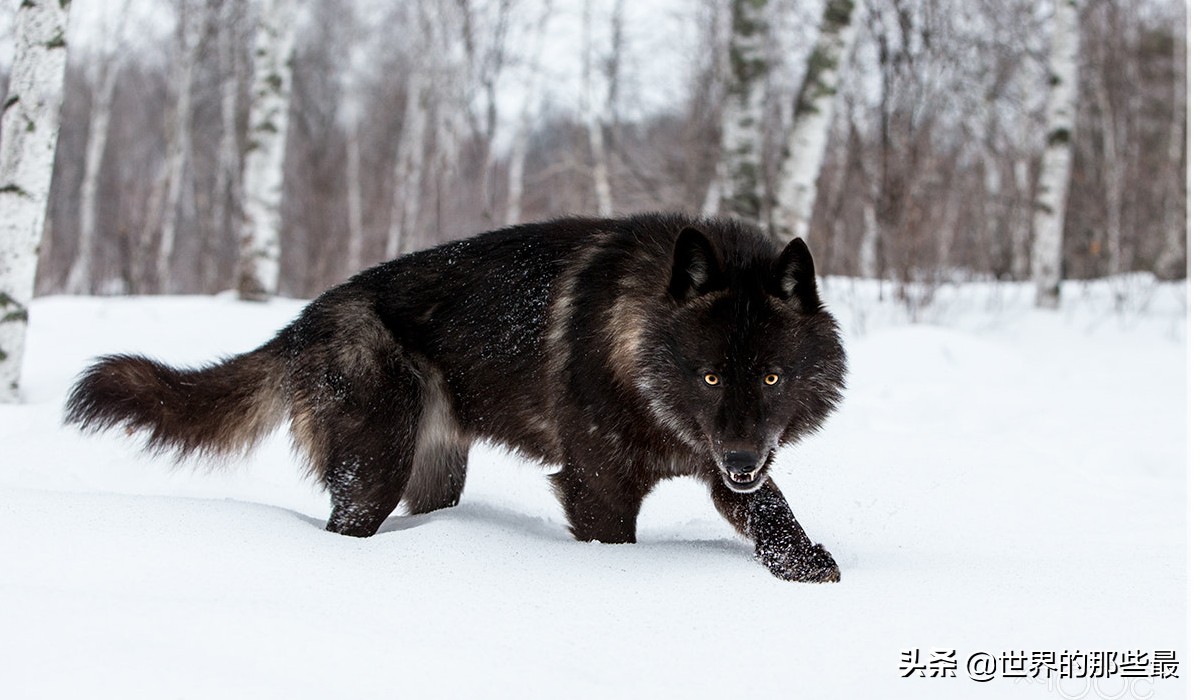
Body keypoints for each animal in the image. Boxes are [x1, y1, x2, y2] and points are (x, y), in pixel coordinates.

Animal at [65, 212, 849, 581]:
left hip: (436, 475)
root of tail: (303, 320)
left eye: (772, 377)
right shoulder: (597, 486)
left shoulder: (727, 465)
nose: (742, 460)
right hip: (373, 473)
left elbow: (774, 515)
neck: (634, 341)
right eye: (709, 376)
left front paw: (809, 568)